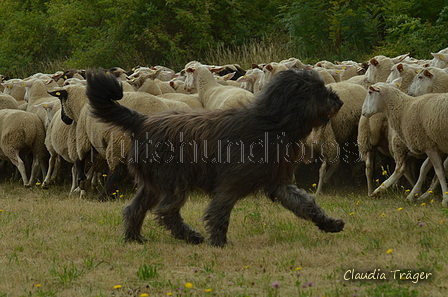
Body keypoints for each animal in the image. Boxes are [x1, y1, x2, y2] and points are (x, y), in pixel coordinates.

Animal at [88, 67, 346, 245]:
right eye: (316, 90)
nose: (339, 100)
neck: (272, 123)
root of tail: (142, 121)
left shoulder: (279, 182)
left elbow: (305, 204)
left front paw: (330, 223)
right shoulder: (231, 182)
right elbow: (219, 210)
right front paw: (219, 241)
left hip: (153, 184)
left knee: (134, 208)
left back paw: (134, 238)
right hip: (174, 181)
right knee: (167, 212)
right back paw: (191, 236)